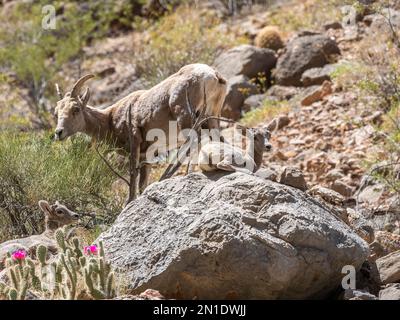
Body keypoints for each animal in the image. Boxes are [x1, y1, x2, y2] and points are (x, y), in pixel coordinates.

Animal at [54, 62, 227, 192]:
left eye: (76, 109)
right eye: (56, 113)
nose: (58, 133)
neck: (110, 119)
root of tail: (212, 75)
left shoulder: (135, 147)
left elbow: (133, 185)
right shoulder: (146, 155)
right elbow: (142, 185)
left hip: (185, 118)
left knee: (195, 140)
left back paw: (185, 174)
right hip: (212, 118)